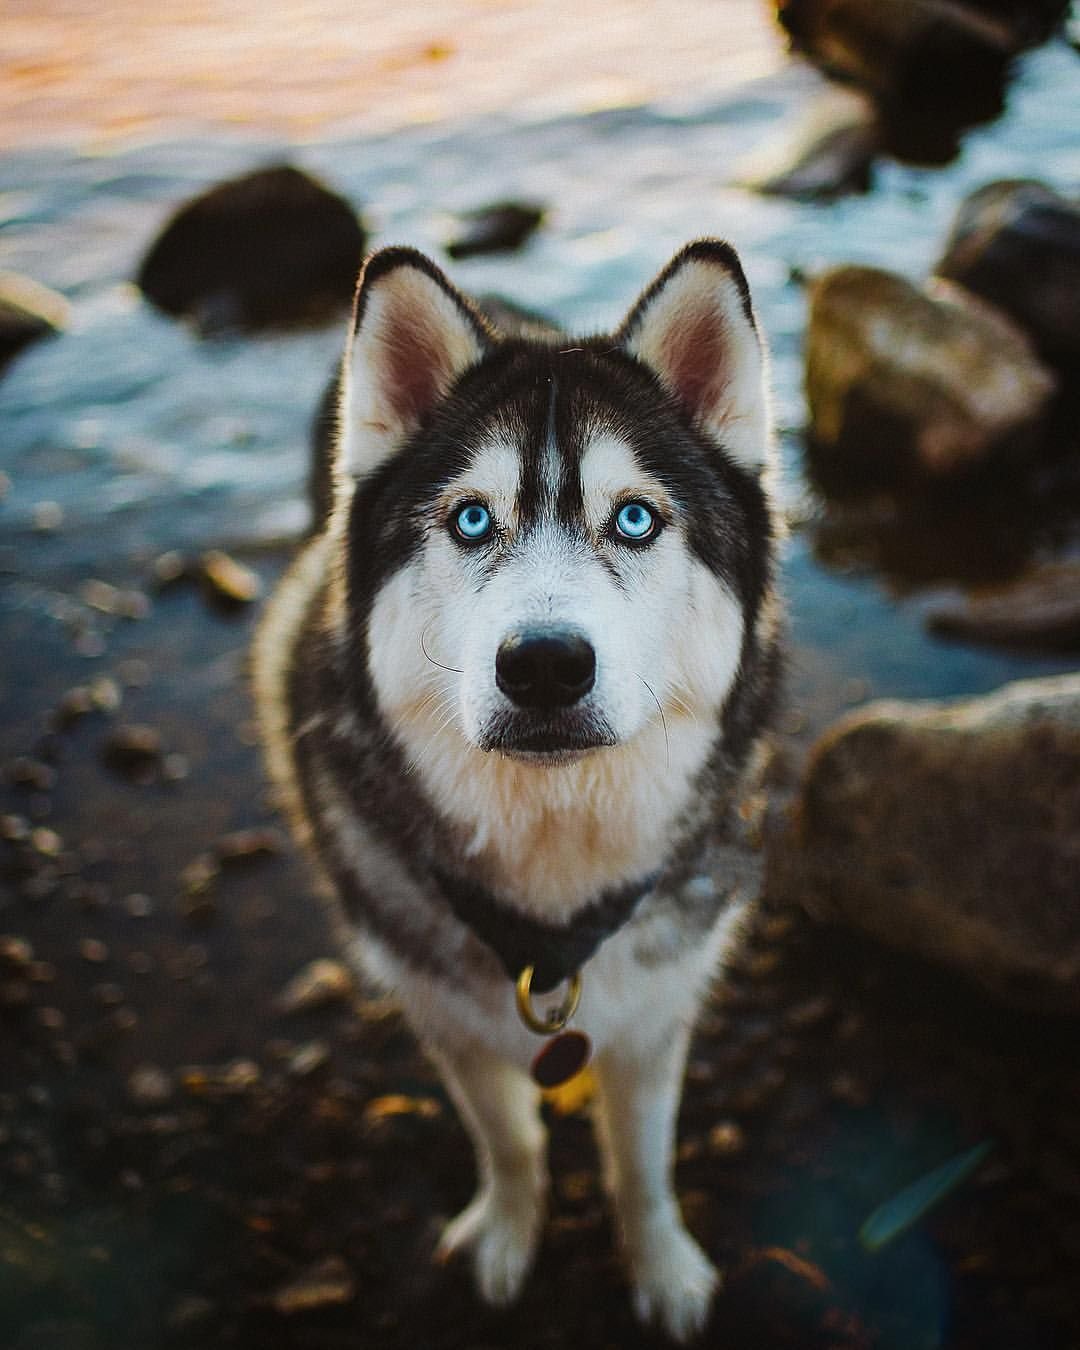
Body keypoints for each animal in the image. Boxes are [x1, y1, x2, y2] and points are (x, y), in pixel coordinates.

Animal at [251, 243, 777, 1339]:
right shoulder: (448, 1019)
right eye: (470, 519)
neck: (555, 877)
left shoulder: (657, 1016)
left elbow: (643, 1163)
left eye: (635, 519)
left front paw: (661, 1266)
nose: (542, 665)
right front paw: (507, 1232)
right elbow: (510, 1140)